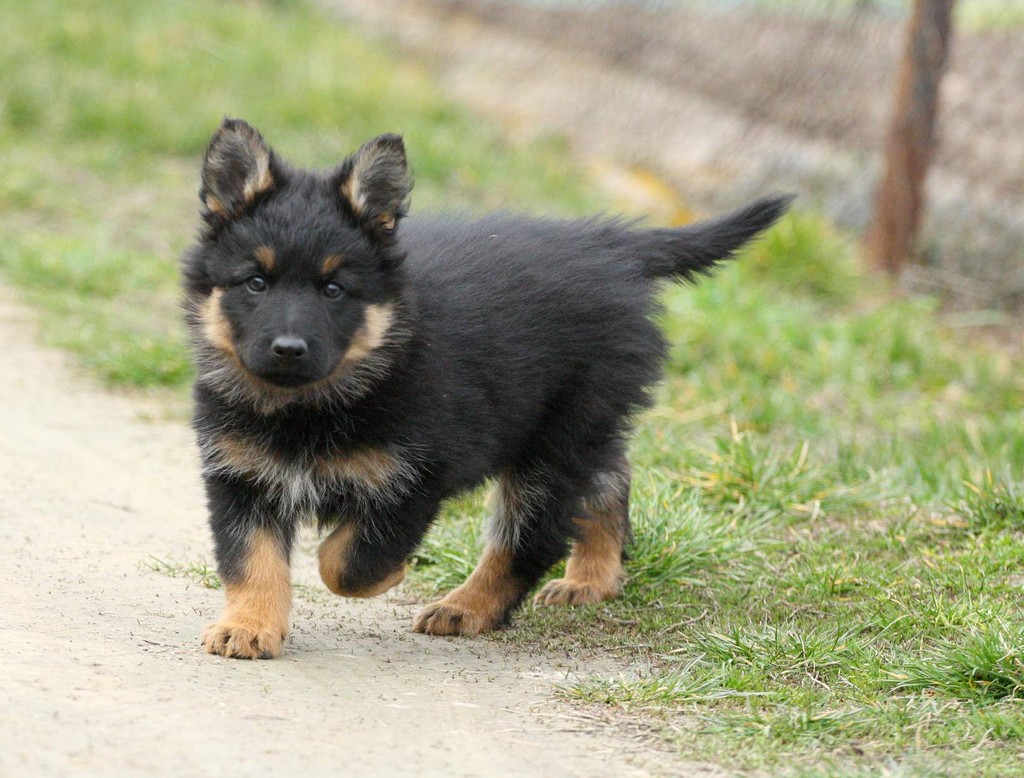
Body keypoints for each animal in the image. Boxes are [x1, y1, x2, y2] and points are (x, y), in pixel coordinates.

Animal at [182, 118, 791, 659]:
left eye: (334, 290)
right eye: (255, 282)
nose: (288, 348)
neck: (311, 403)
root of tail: (608, 245)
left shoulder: (416, 476)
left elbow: (348, 561)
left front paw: (389, 572)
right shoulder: (240, 475)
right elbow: (252, 559)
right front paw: (249, 626)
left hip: (554, 439)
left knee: (531, 536)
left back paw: (468, 607)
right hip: (576, 427)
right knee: (609, 478)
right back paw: (592, 579)